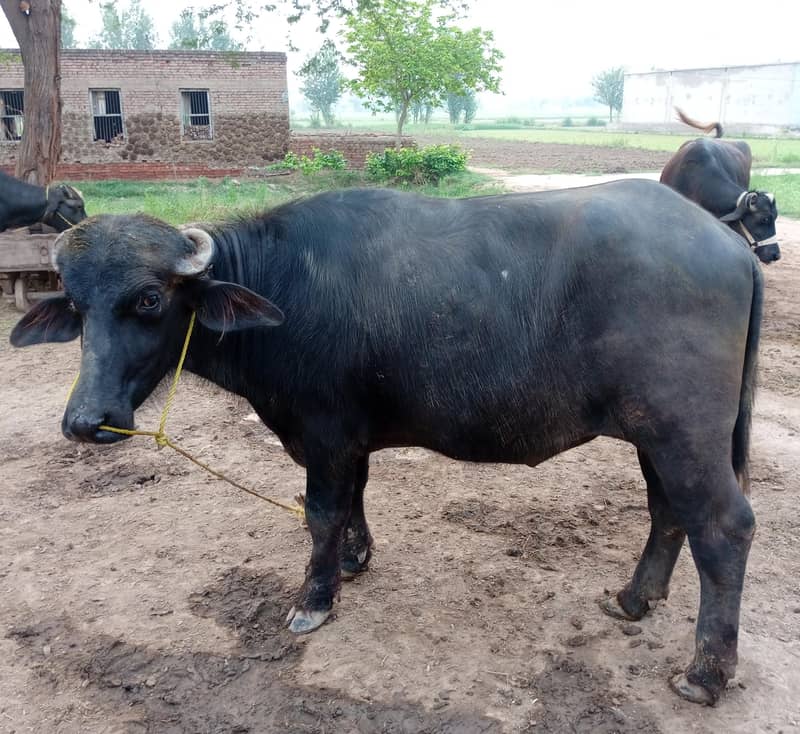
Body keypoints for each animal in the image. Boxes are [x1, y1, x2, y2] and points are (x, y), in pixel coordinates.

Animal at [10, 181, 762, 706]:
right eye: (75, 304)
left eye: (148, 300)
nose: (87, 420)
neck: (284, 287)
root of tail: (732, 248)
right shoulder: (350, 439)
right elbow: (354, 500)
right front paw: (353, 559)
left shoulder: (324, 432)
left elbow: (319, 513)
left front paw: (314, 599)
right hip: (654, 433)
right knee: (668, 512)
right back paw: (635, 599)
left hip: (685, 430)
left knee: (723, 527)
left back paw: (705, 673)